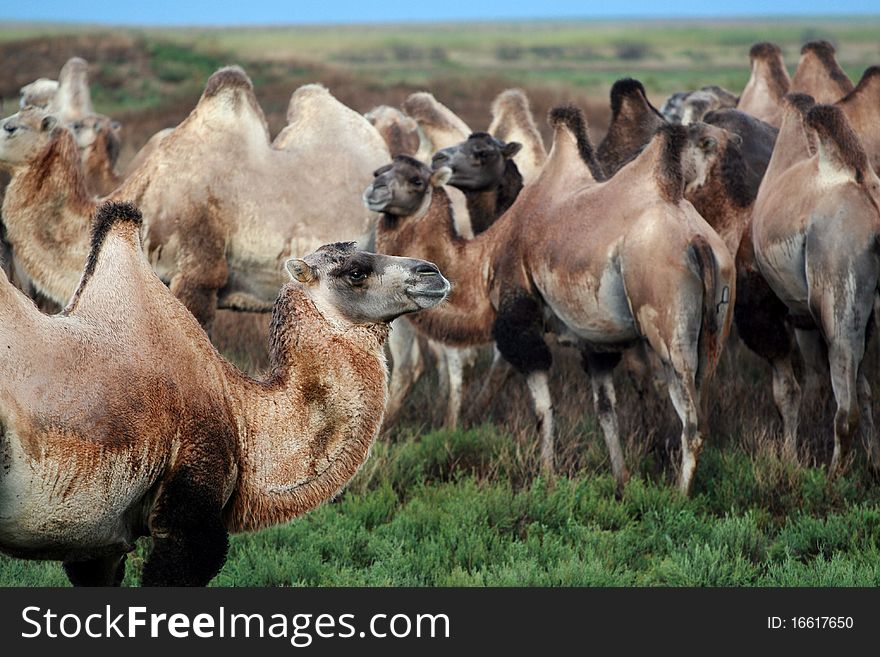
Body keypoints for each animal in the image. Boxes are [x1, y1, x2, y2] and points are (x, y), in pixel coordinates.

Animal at [368, 104, 732, 492]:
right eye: (382, 169)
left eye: (416, 180)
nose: (374, 187)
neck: (485, 256)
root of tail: (698, 241)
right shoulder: (594, 338)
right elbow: (606, 410)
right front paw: (621, 481)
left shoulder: (519, 321)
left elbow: (543, 408)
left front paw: (548, 477)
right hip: (715, 327)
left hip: (665, 322)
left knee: (691, 421)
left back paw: (679, 495)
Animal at [744, 98, 880, 472]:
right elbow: (863, 387)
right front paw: (874, 462)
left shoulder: (786, 311)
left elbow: (788, 392)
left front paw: (789, 460)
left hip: (837, 292)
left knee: (846, 411)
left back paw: (832, 477)